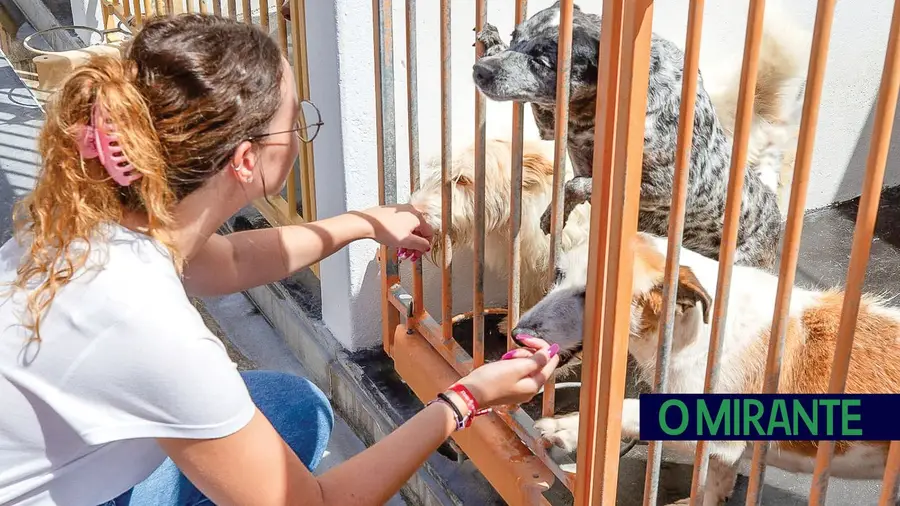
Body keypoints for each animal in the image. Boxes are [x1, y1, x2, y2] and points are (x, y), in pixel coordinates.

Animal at [474, 1, 784, 270]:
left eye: (541, 61)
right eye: (516, 36)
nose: (480, 71)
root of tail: (777, 222)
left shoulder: (660, 188)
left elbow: (575, 184)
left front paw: (553, 216)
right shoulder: (554, 126)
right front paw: (492, 42)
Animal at [512, 233, 900, 506]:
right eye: (559, 274)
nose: (517, 334)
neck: (692, 329)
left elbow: (627, 409)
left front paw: (568, 427)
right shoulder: (724, 452)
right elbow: (715, 481)